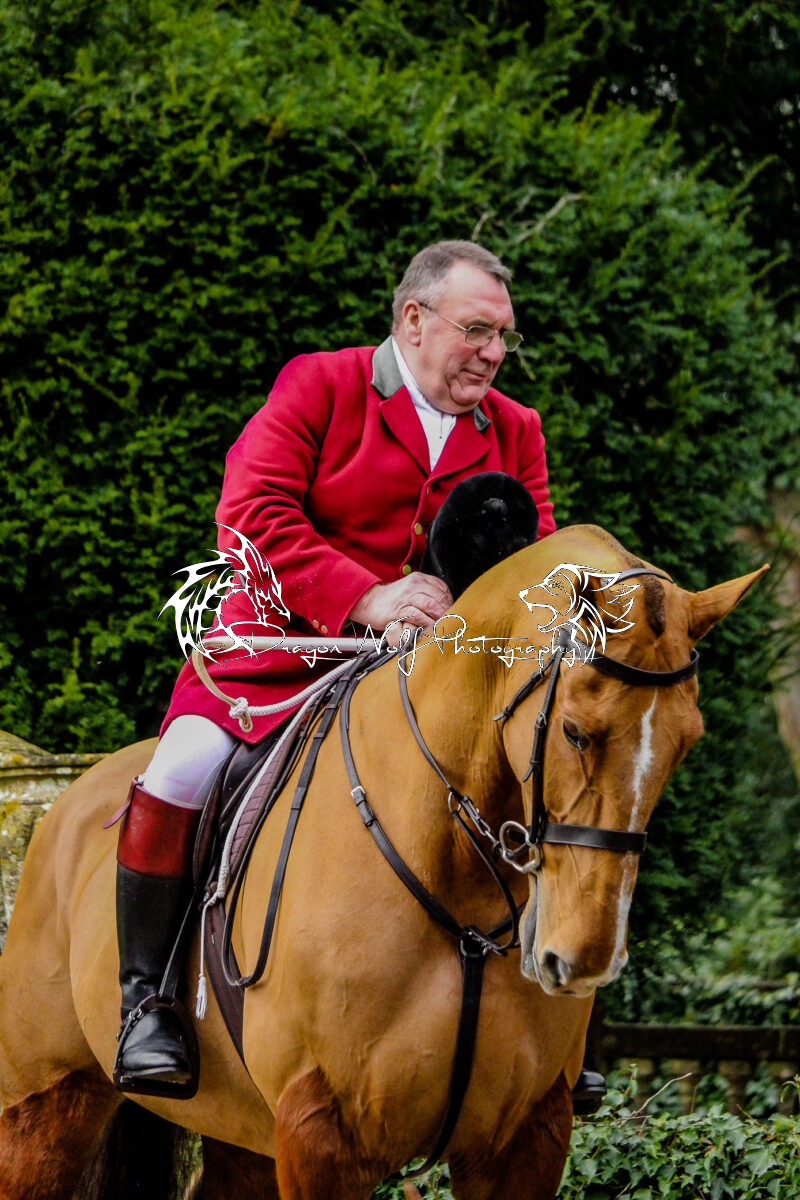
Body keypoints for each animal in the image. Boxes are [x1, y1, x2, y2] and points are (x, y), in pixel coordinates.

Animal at [0, 525, 766, 1200]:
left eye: (687, 743)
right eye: (576, 731)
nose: (583, 959)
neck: (457, 881)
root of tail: (66, 801)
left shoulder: (526, 1139)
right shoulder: (321, 1136)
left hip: (243, 1132)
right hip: (41, 1111)